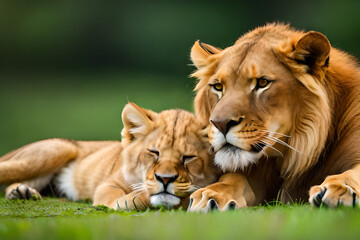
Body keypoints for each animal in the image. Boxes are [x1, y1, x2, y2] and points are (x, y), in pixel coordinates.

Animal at [0, 103, 218, 210]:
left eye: (188, 157)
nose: (165, 179)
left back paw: (22, 192)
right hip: (56, 150)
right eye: (154, 152)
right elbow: (118, 196)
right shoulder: (108, 183)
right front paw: (127, 201)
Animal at [187, 23, 360, 212]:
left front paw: (340, 188)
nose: (220, 123)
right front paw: (210, 195)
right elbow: (234, 177)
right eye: (218, 87)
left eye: (262, 83)